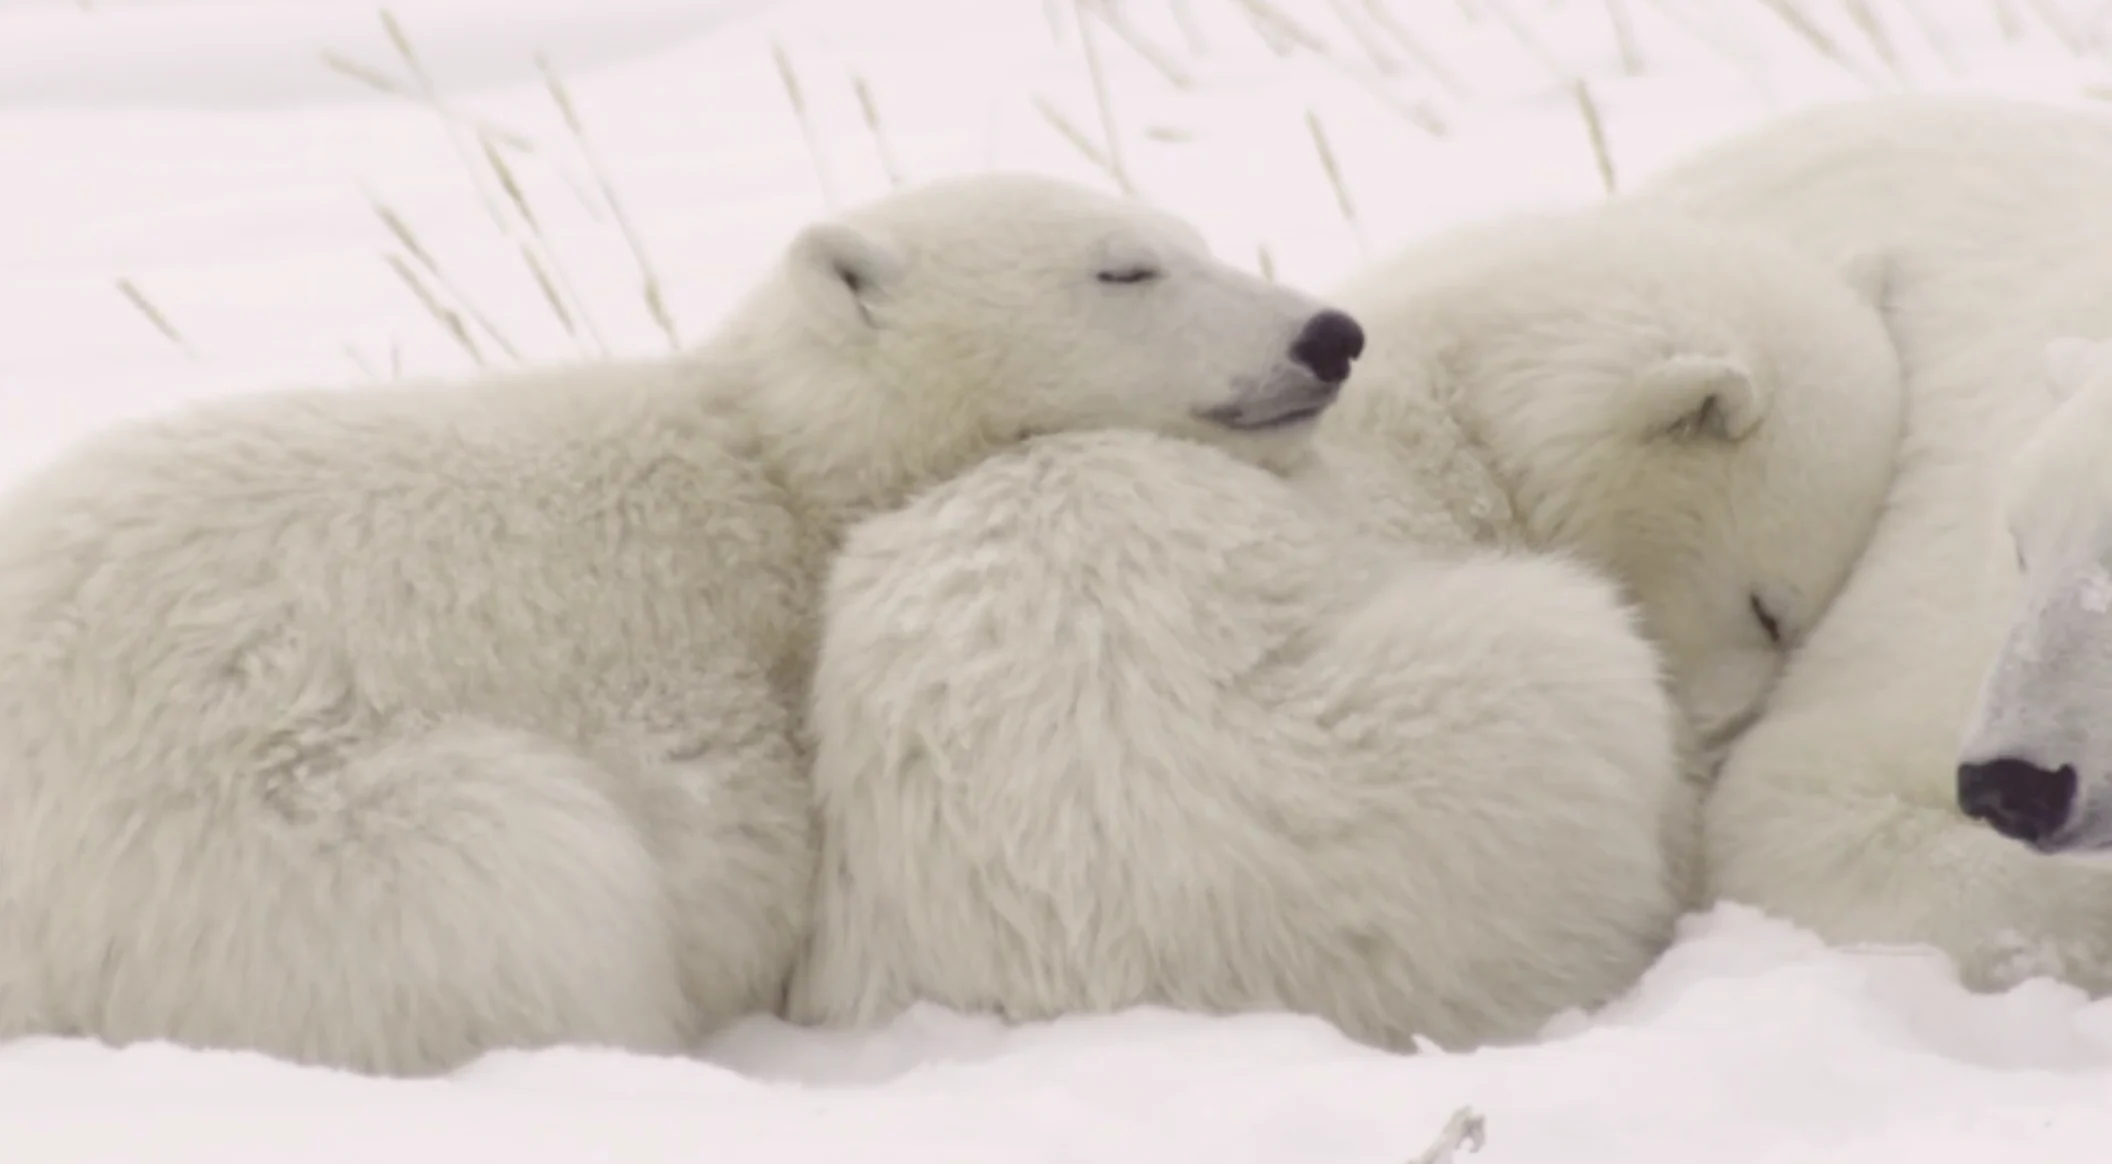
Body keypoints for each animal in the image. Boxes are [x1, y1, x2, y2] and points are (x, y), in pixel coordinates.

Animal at [0, 172, 1367, 1076]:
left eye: (1192, 236)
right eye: (1123, 267)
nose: (1331, 331)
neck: (774, 476)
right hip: (254, 830)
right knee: (522, 874)